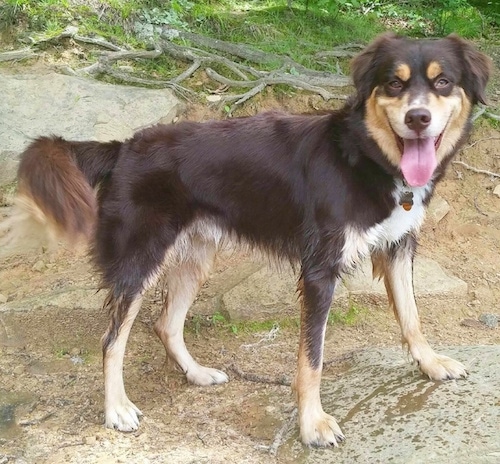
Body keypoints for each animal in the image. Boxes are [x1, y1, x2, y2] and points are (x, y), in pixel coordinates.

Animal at [2, 32, 488, 446]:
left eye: (443, 82)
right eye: (394, 83)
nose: (418, 118)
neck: (364, 155)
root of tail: (122, 148)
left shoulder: (398, 246)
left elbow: (411, 316)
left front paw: (430, 363)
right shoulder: (320, 271)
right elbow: (312, 357)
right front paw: (313, 424)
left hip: (196, 258)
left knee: (166, 323)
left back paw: (196, 374)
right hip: (139, 261)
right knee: (111, 340)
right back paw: (117, 409)